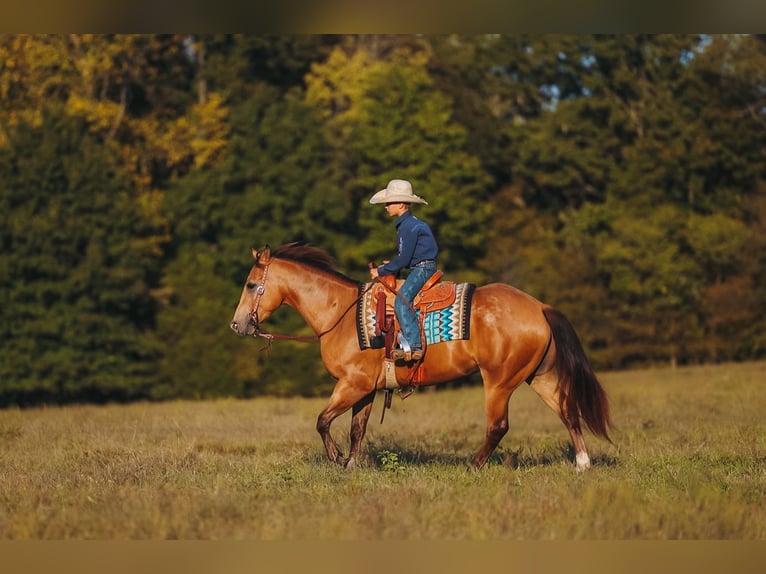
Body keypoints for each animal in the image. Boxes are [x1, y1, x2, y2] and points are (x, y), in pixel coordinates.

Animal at [230, 243, 612, 471]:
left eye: (250, 284)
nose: (237, 324)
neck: (341, 313)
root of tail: (540, 307)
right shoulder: (365, 388)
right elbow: (357, 428)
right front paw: (351, 464)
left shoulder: (352, 384)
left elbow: (323, 421)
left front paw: (336, 458)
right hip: (540, 376)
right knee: (568, 412)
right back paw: (582, 463)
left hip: (499, 382)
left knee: (498, 426)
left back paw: (473, 465)